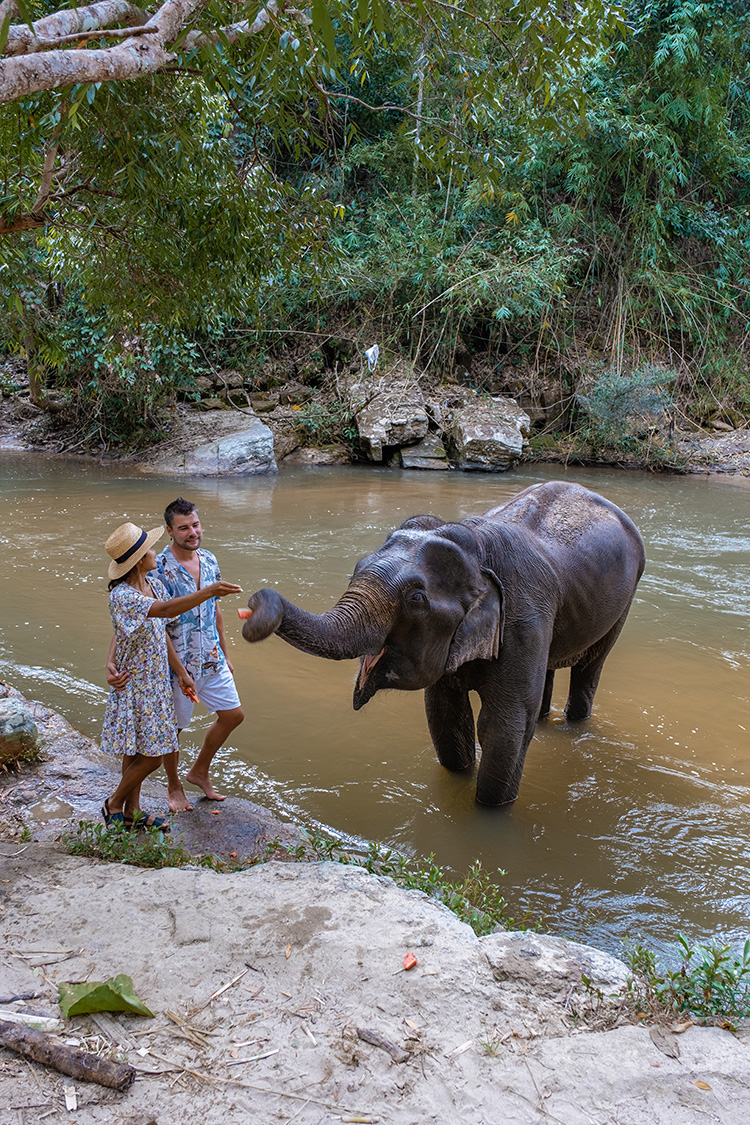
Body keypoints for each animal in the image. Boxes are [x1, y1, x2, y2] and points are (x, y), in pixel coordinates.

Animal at [240, 479, 647, 805]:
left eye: (416, 598)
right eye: (356, 567)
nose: (255, 603)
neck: (477, 545)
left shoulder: (524, 620)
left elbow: (505, 726)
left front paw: (489, 810)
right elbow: (444, 713)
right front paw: (458, 776)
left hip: (623, 604)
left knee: (590, 667)